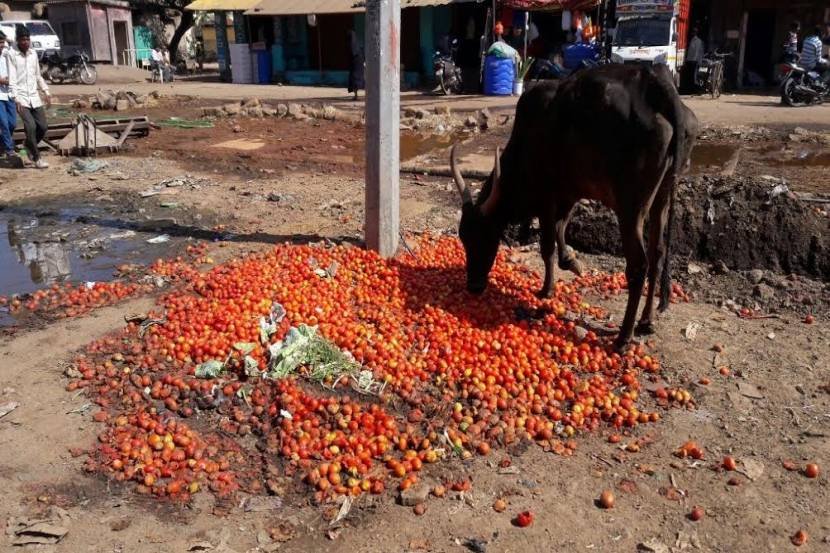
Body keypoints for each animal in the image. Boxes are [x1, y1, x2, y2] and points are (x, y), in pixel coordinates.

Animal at [452, 63, 700, 350]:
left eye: (484, 236)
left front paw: (546, 289)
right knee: (657, 254)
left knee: (638, 265)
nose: (474, 286)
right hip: (662, 196)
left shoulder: (547, 197)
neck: (525, 140)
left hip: (630, 207)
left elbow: (547, 246)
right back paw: (646, 321)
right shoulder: (569, 193)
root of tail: (657, 82)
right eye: (463, 238)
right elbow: (561, 232)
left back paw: (623, 337)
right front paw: (571, 262)